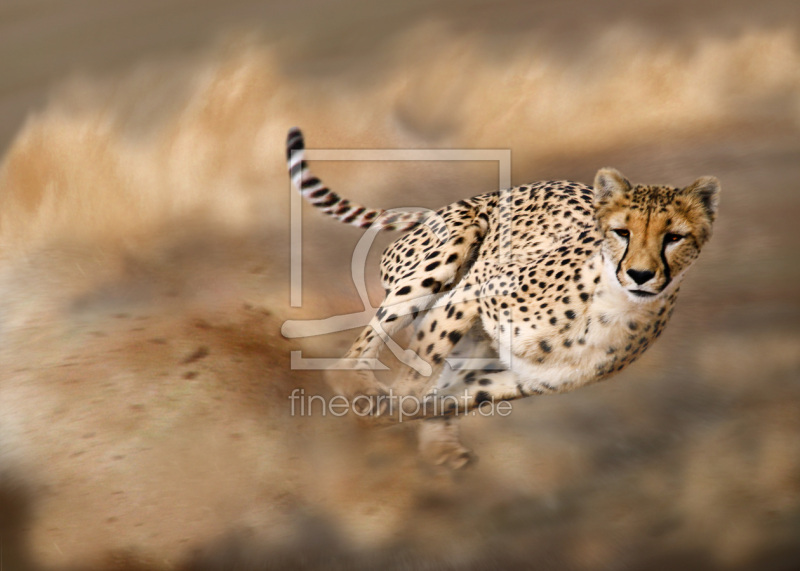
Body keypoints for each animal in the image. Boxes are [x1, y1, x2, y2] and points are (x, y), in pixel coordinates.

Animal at [286, 127, 720, 466]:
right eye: (622, 232)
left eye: (674, 237)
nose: (640, 275)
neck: (611, 306)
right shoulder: (472, 293)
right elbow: (416, 376)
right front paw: (379, 416)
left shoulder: (519, 378)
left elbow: (438, 397)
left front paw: (406, 425)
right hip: (451, 246)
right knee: (355, 354)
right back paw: (357, 384)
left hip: (477, 344)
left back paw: (439, 445)